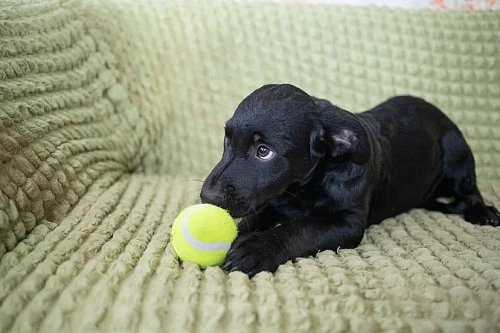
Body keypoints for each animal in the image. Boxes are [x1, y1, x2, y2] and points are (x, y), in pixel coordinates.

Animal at [200, 84, 500, 276]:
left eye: (264, 152)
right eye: (227, 141)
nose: (207, 197)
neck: (304, 189)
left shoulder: (348, 222)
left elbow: (302, 228)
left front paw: (257, 248)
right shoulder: (273, 203)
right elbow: (249, 221)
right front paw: (236, 235)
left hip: (457, 157)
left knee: (471, 190)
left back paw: (483, 212)